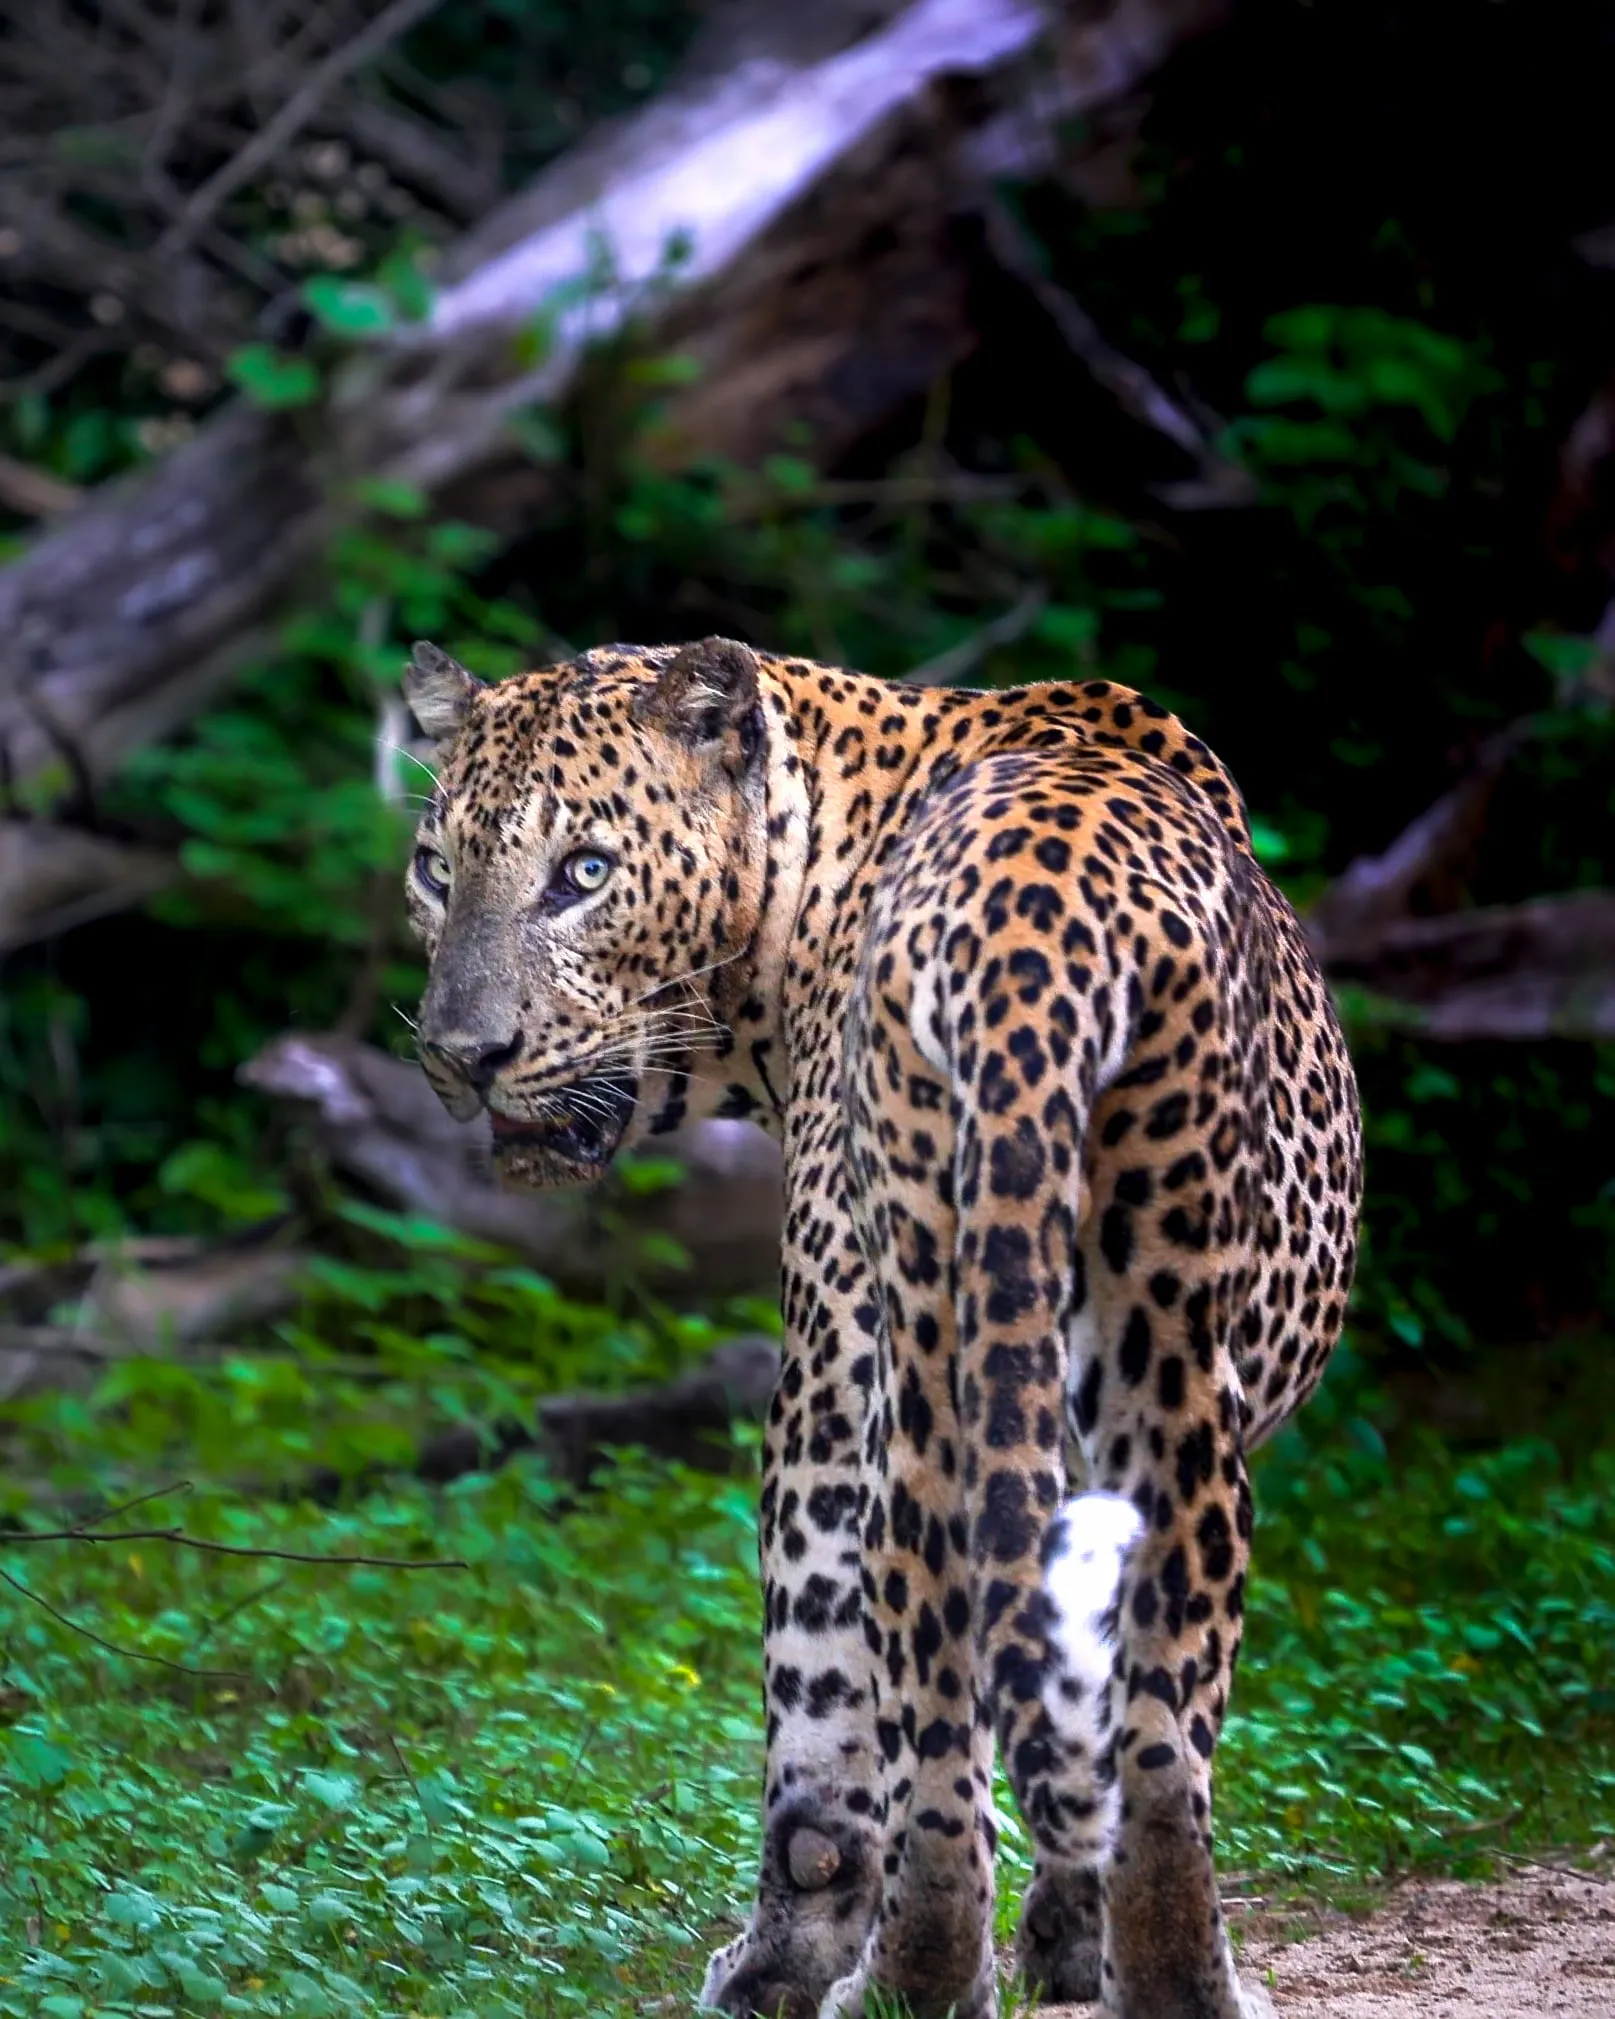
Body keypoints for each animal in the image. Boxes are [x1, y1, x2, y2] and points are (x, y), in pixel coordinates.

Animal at [400, 633, 1363, 2019]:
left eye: (582, 874)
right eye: (437, 869)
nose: (460, 1055)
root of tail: (1035, 933)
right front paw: (1060, 1944)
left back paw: (928, 1971)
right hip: (1135, 1352)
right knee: (1128, 1702)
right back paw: (1139, 1976)